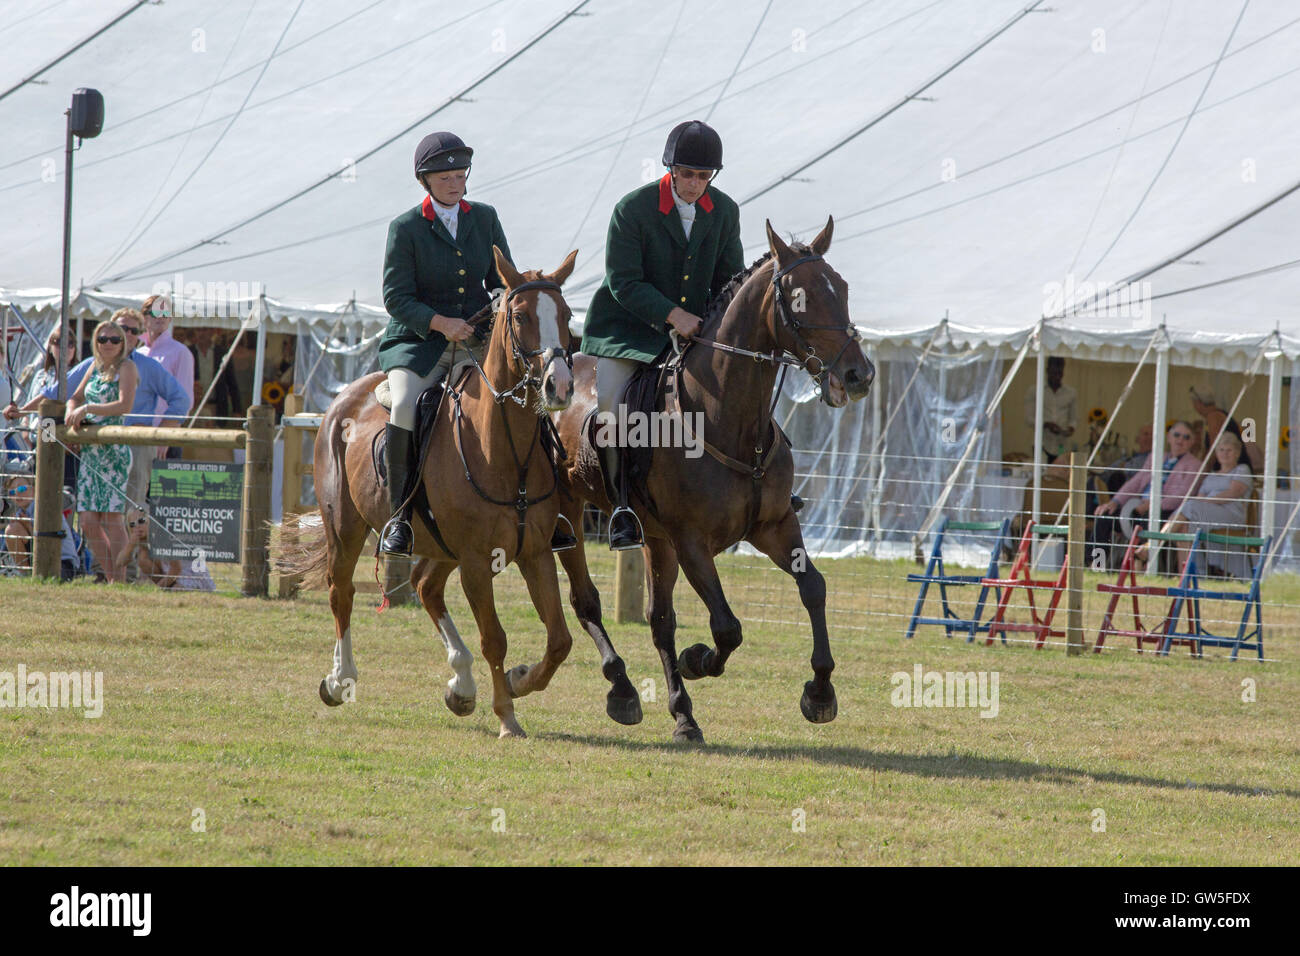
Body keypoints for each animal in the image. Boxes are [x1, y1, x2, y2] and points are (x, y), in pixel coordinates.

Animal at [284, 247, 595, 738]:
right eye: (521, 316)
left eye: (565, 315)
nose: (560, 386)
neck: (503, 447)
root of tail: (341, 400)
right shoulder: (476, 562)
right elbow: (494, 638)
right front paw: (507, 715)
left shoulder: (535, 552)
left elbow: (559, 639)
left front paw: (520, 680)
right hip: (346, 527)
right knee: (342, 591)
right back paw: (340, 681)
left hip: (440, 544)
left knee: (425, 586)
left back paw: (461, 686)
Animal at [553, 221, 878, 743]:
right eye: (801, 298)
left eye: (843, 289)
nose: (858, 376)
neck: (727, 418)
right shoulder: (691, 541)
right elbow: (727, 627)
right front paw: (699, 659)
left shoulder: (774, 526)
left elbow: (814, 588)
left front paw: (820, 691)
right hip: (568, 516)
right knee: (587, 603)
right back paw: (624, 690)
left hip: (655, 539)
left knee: (659, 621)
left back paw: (682, 714)